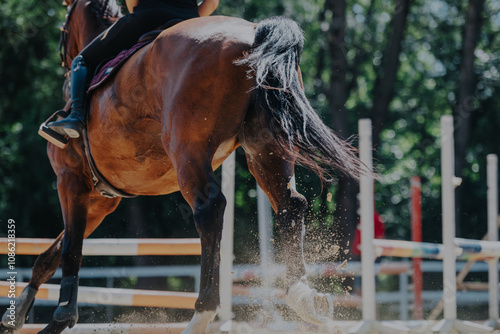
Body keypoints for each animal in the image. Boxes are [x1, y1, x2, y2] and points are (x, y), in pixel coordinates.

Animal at [1, 0, 366, 334]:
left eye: (64, 28)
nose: (63, 60)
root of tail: (253, 35)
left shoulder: (71, 180)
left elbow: (70, 250)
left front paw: (60, 318)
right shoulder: (102, 201)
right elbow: (50, 254)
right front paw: (17, 314)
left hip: (187, 149)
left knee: (210, 209)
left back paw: (201, 316)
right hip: (266, 148)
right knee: (291, 205)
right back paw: (303, 298)